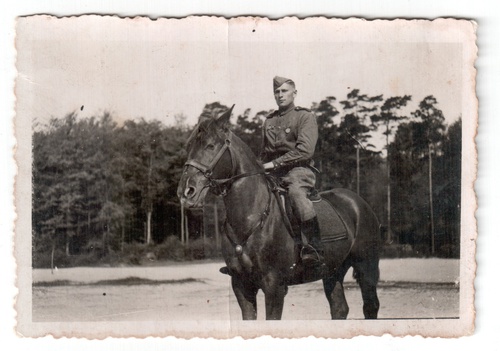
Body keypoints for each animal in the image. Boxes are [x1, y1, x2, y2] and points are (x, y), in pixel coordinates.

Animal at [178, 107, 380, 322]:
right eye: (189, 146)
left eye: (210, 146)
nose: (186, 192)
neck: (251, 217)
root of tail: (359, 203)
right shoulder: (241, 285)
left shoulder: (274, 286)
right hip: (333, 271)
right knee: (339, 308)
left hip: (366, 266)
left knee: (371, 307)